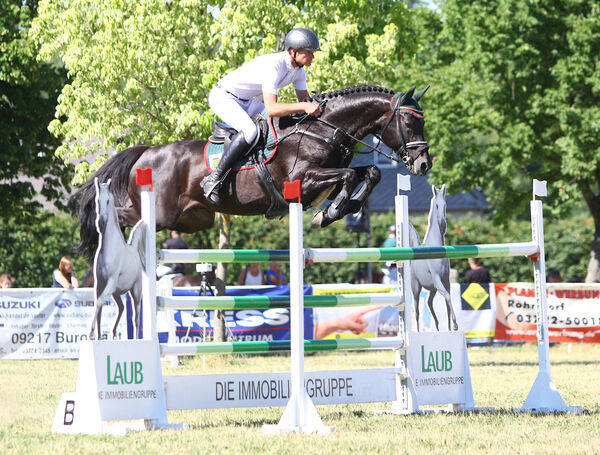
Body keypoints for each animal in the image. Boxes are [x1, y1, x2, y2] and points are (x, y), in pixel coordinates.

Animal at [75, 83, 432, 258]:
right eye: (409, 123)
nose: (424, 164)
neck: (321, 129)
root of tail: (146, 152)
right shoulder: (302, 181)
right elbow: (348, 177)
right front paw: (330, 212)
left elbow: (369, 173)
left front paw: (341, 208)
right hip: (161, 212)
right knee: (124, 215)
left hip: (192, 219)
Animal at [89, 180, 147, 340]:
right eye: (97, 201)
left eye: (108, 201)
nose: (101, 223)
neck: (109, 250)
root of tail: (134, 250)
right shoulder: (100, 285)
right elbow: (98, 307)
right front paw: (97, 336)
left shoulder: (110, 282)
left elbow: (100, 302)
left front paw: (91, 333)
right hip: (116, 293)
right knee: (121, 307)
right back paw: (114, 333)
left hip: (136, 292)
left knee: (136, 317)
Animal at [408, 184, 460, 332]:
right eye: (436, 205)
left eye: (445, 205)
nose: (443, 226)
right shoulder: (437, 280)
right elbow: (447, 297)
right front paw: (455, 324)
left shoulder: (446, 281)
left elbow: (448, 301)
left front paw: (450, 328)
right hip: (416, 288)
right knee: (417, 310)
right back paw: (418, 331)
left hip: (432, 289)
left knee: (429, 302)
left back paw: (436, 326)